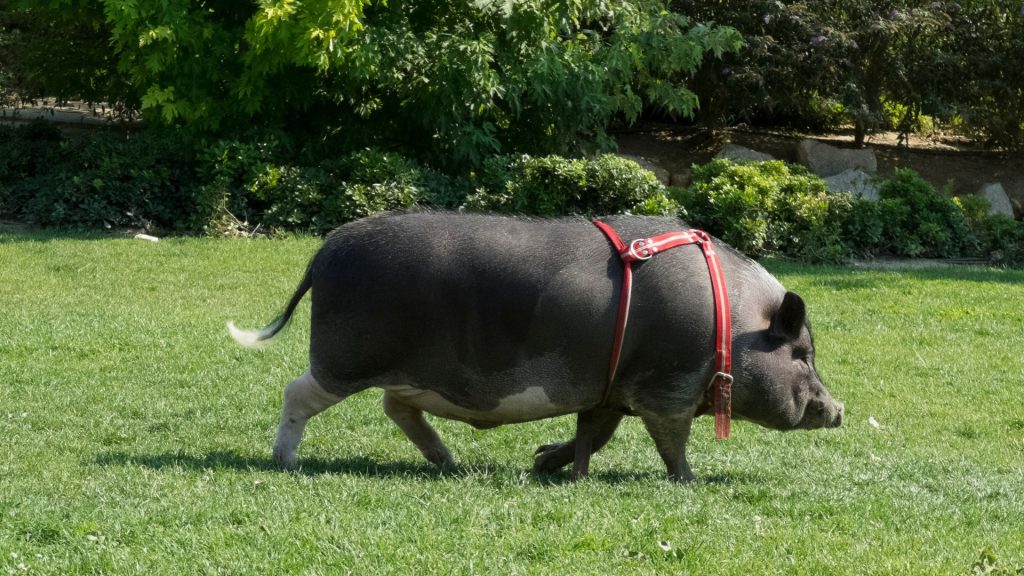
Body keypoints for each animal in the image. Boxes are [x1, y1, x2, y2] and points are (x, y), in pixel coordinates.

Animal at [229, 211, 843, 482]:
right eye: (801, 355)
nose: (839, 409)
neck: (731, 326)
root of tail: (325, 249)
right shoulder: (665, 387)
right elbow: (671, 442)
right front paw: (687, 481)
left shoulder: (609, 389)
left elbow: (593, 435)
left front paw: (548, 463)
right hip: (345, 358)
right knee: (297, 392)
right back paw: (285, 462)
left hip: (408, 372)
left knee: (396, 407)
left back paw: (450, 463)